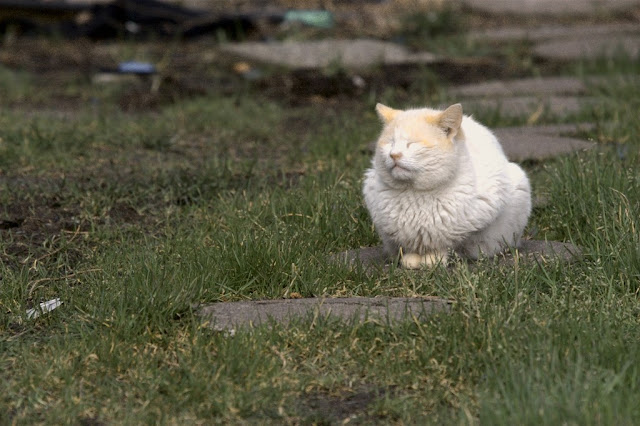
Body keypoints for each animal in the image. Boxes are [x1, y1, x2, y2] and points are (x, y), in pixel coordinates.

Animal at [362, 102, 532, 270]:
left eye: (412, 144)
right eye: (390, 143)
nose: (394, 155)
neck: (414, 192)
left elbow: (447, 246)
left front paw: (434, 260)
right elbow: (410, 246)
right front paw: (411, 259)